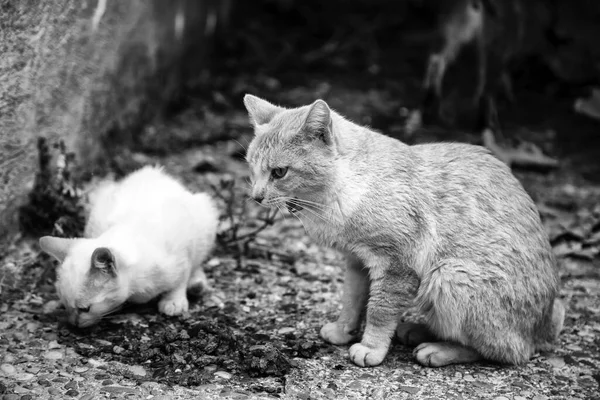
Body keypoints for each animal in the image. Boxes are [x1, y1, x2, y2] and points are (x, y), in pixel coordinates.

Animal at [39, 166, 220, 328]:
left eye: (84, 309)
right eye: (65, 305)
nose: (72, 324)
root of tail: (156, 172)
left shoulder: (183, 248)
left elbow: (181, 278)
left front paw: (173, 300)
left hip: (204, 219)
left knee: (197, 261)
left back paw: (196, 284)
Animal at [243, 94, 564, 368]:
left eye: (279, 172)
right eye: (252, 169)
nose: (256, 197)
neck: (349, 185)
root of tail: (545, 329)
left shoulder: (397, 266)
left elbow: (380, 310)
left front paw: (370, 347)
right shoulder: (357, 261)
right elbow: (352, 300)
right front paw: (344, 329)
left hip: (449, 276)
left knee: (506, 351)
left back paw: (438, 349)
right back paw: (419, 330)